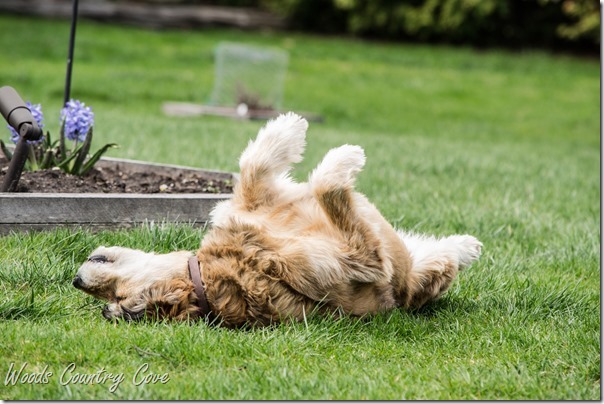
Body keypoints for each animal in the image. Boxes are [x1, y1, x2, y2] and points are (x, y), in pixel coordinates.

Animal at [73, 112, 482, 327]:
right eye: (118, 298)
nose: (77, 281)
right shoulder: (361, 259)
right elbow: (328, 187)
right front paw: (345, 157)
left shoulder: (252, 204)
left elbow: (252, 167)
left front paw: (288, 128)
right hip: (413, 275)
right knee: (431, 264)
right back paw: (465, 246)